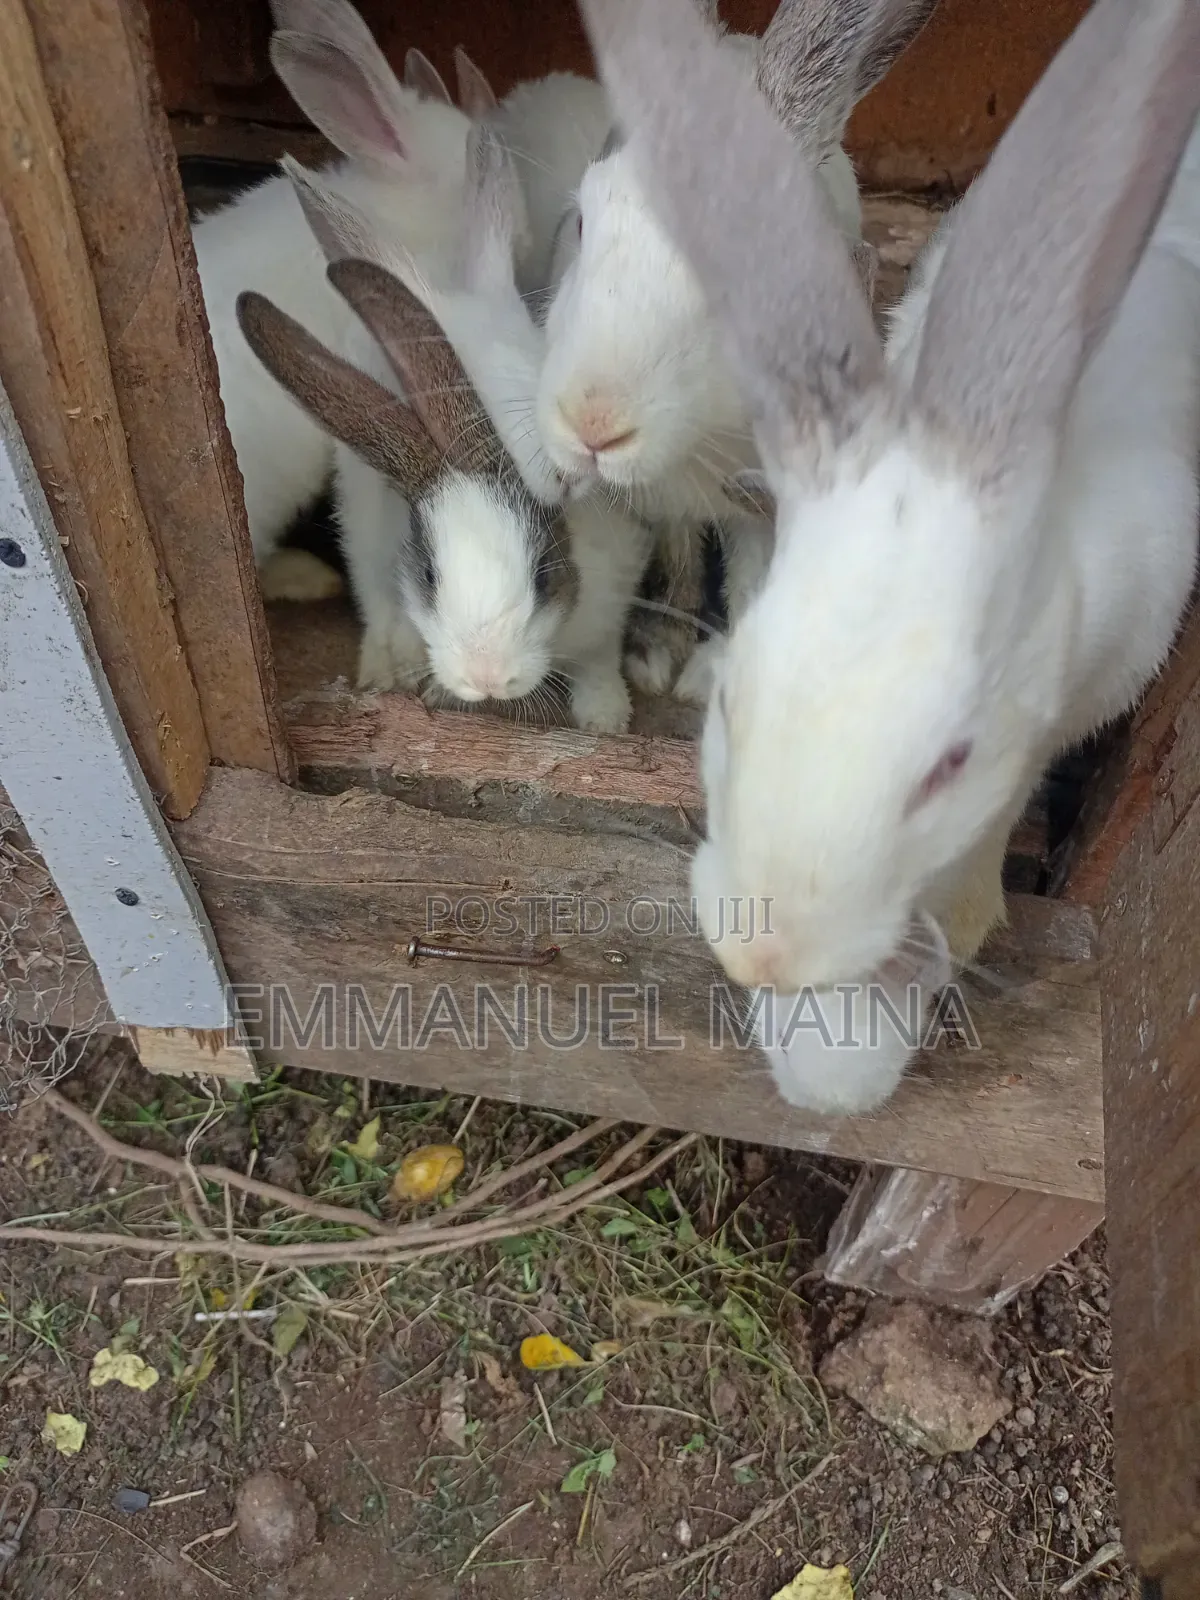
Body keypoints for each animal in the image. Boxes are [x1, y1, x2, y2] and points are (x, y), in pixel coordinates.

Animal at [537, 0, 932, 702]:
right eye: (582, 221)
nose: (593, 422)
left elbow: (751, 572)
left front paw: (718, 671)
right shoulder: (667, 506)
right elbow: (681, 559)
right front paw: (655, 651)